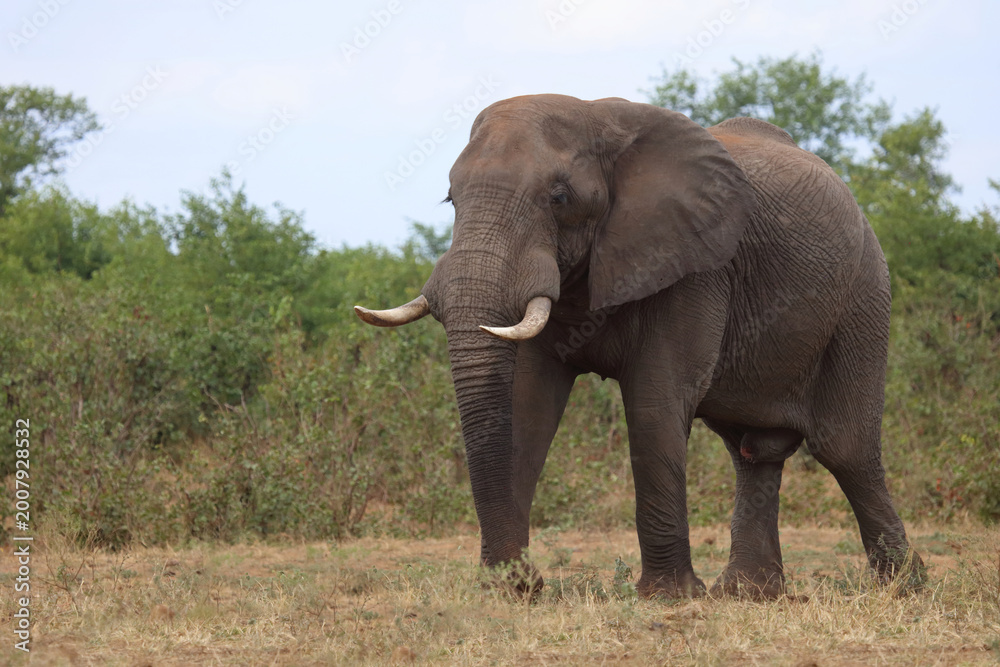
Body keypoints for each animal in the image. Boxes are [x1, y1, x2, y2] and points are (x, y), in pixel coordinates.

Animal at [356, 94, 924, 599]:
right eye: (451, 200)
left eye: (559, 198)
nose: (527, 581)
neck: (599, 121)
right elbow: (527, 408)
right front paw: (509, 592)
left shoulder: (696, 263)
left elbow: (655, 400)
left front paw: (668, 597)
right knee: (753, 451)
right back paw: (748, 594)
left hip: (864, 297)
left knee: (843, 448)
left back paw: (903, 587)